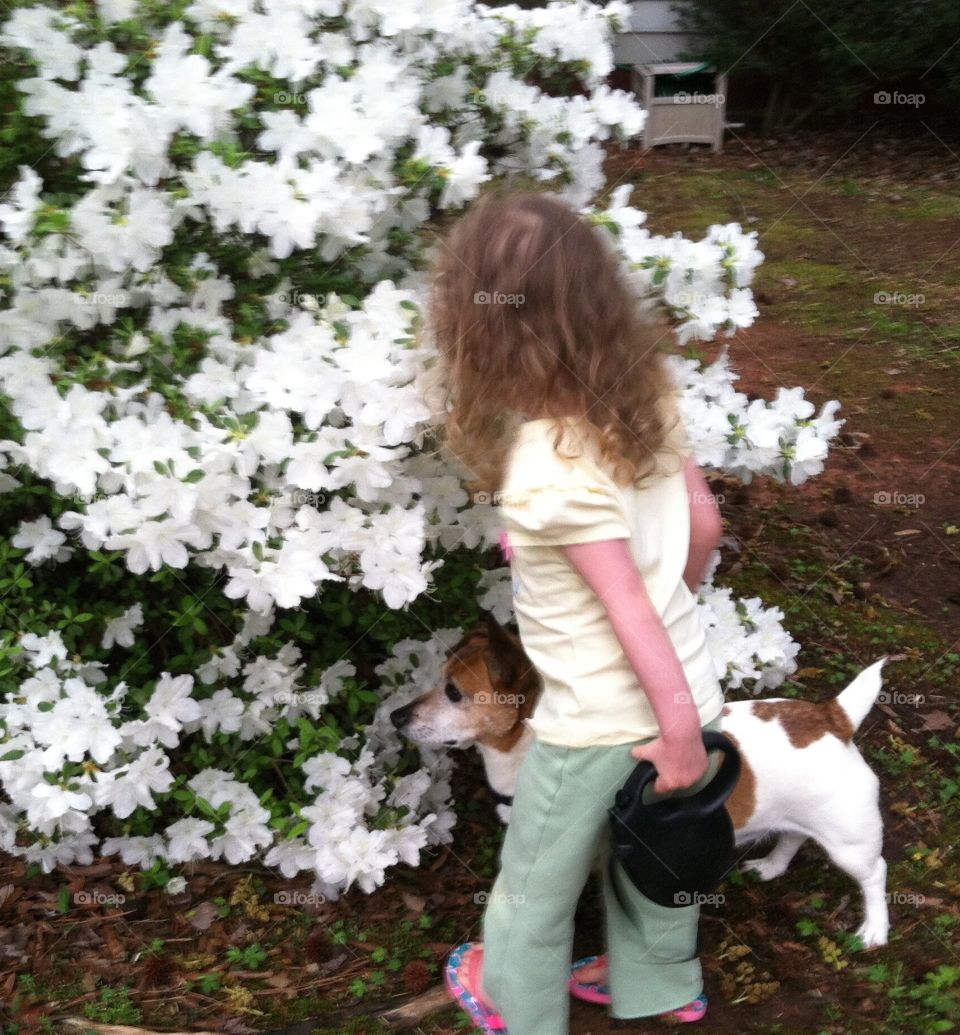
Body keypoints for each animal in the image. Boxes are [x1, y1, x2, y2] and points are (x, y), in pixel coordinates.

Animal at [391, 612, 893, 948]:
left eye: (454, 692)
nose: (395, 716)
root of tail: (832, 717)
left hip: (849, 843)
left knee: (875, 874)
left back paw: (874, 929)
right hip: (801, 818)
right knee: (792, 837)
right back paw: (771, 866)